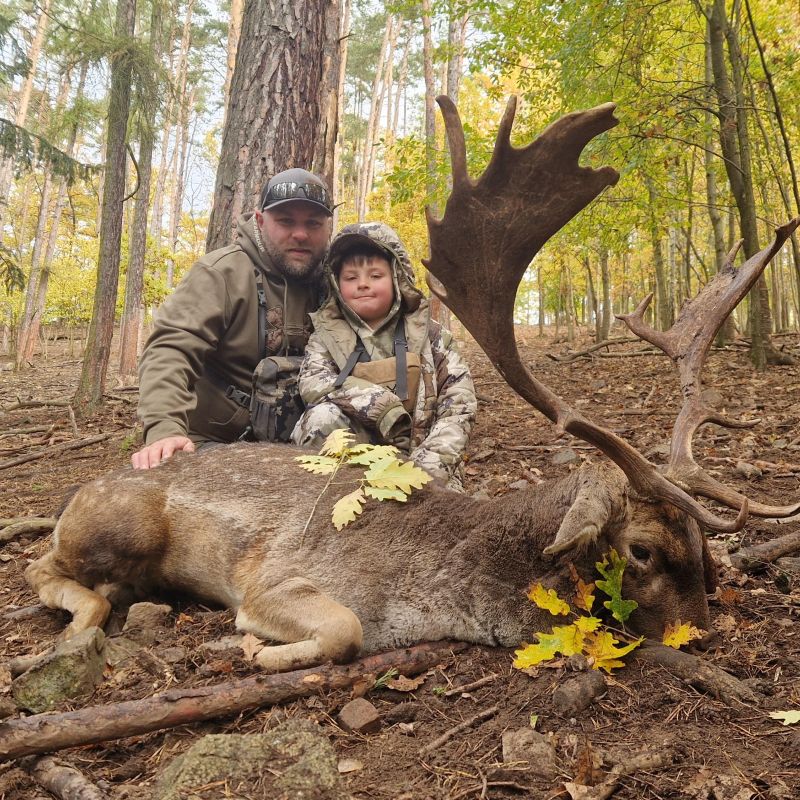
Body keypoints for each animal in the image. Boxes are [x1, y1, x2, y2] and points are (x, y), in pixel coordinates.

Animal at [25, 97, 799, 674]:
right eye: (642, 549)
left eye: (703, 546)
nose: (702, 636)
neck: (424, 588)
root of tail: (73, 495)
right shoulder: (278, 580)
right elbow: (342, 630)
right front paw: (251, 648)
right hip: (117, 525)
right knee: (43, 565)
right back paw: (87, 620)